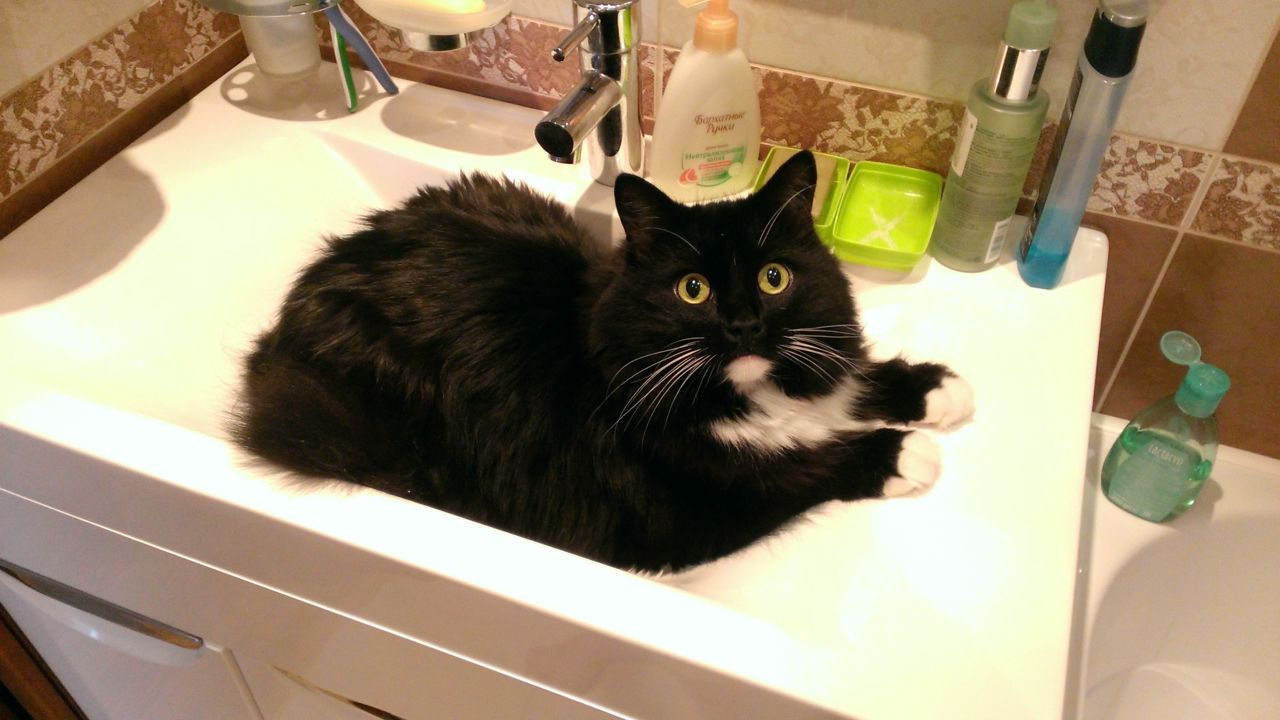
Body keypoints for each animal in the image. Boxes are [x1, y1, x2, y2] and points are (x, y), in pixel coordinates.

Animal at [232, 150, 973, 572]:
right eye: (692, 289)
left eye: (773, 279)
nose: (744, 324)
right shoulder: (688, 508)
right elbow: (804, 466)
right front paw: (904, 454)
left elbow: (849, 376)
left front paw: (937, 390)